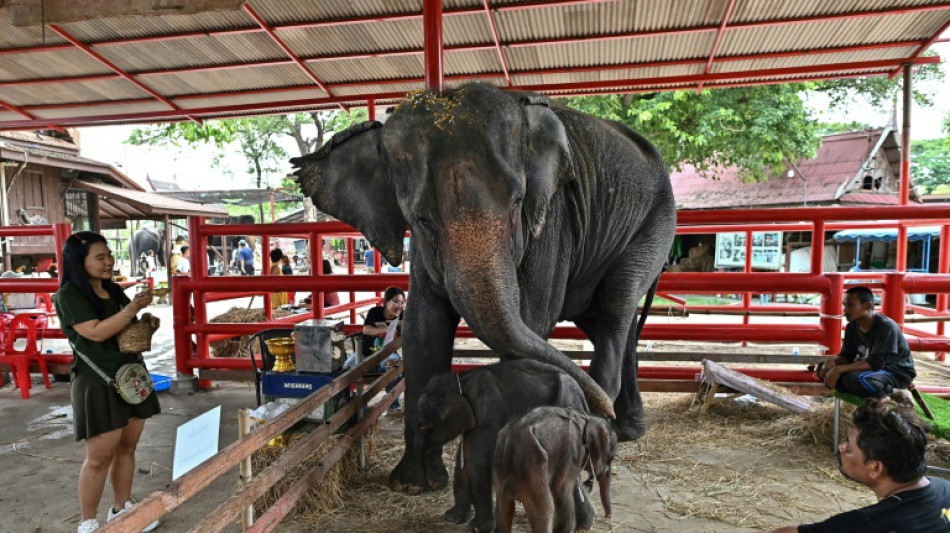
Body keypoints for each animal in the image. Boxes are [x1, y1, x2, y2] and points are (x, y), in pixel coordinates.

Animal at [291, 82, 676, 492]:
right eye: (422, 219)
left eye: (518, 202)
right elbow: (423, 329)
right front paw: (414, 485)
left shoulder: (552, 221)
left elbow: (530, 320)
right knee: (612, 324)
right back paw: (624, 429)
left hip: (655, 227)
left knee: (614, 310)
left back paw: (601, 439)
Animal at [415, 359, 589, 533]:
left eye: (423, 427)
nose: (430, 486)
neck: (462, 381)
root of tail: (582, 395)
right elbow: (463, 460)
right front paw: (451, 518)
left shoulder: (488, 413)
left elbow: (476, 462)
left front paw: (477, 528)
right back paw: (584, 524)